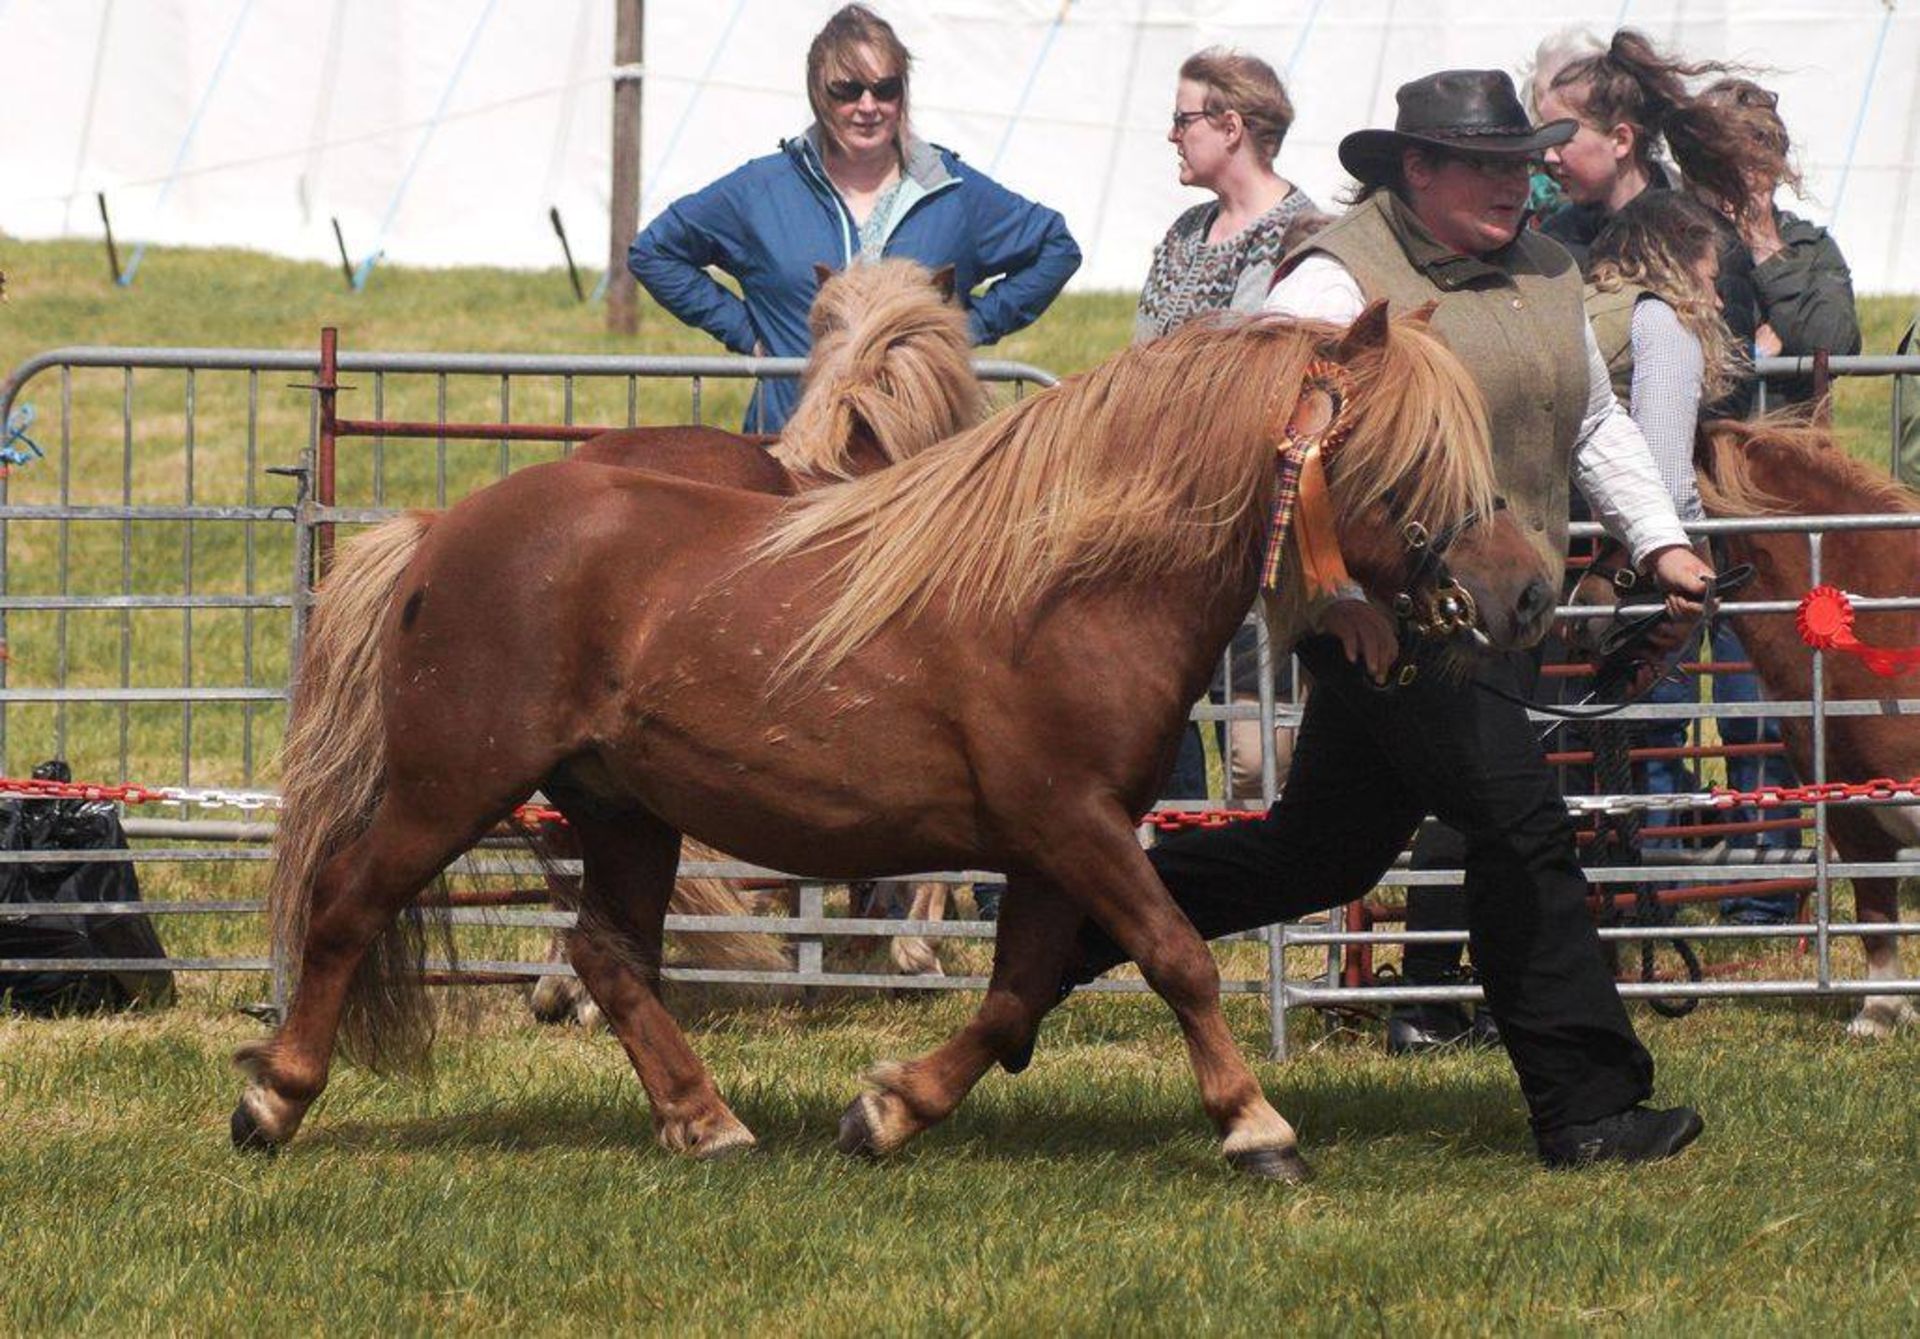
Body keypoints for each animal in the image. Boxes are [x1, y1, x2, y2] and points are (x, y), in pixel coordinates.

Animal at [232, 305, 1551, 1183]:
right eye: (1407, 461)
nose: (1527, 594)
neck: (1072, 584)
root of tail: (440, 528)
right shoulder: (1071, 823)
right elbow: (1179, 957)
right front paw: (1255, 1125)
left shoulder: (1050, 846)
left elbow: (1016, 997)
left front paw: (890, 1109)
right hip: (450, 786)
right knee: (347, 906)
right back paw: (274, 1101)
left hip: (622, 811)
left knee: (610, 957)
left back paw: (708, 1122)